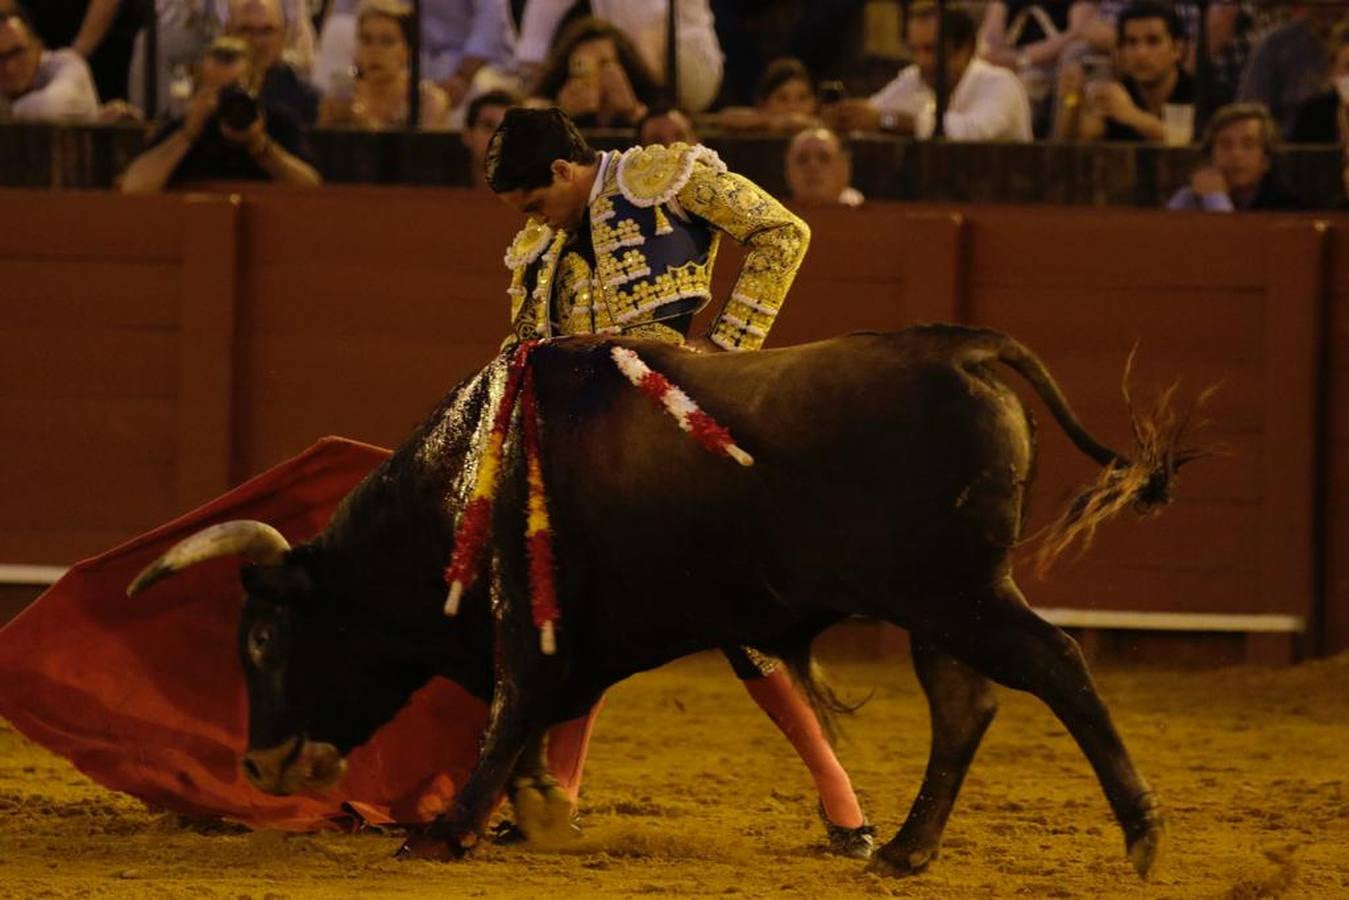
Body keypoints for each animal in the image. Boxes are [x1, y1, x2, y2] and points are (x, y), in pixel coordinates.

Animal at [128, 325, 1203, 879]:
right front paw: (530, 812)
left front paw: (445, 829)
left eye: (265, 637)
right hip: (939, 605)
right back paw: (901, 850)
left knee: (1054, 666)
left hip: (956, 593)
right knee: (965, 705)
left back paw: (1141, 837)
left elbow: (510, 707)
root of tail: (963, 349)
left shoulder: (522, 625)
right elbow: (525, 721)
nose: (258, 764)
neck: (454, 484)